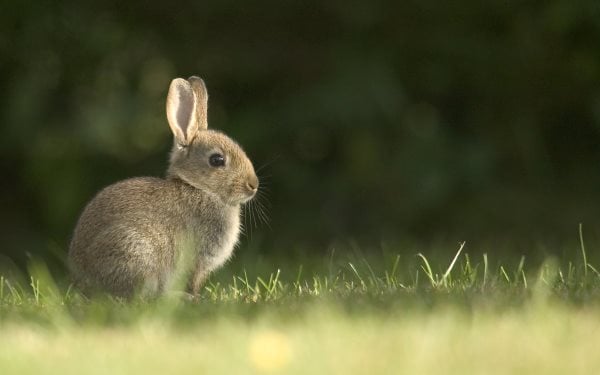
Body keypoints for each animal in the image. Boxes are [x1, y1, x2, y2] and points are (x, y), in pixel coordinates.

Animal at [68, 76, 258, 300]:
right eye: (217, 160)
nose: (253, 185)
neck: (199, 188)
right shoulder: (197, 260)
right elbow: (192, 281)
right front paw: (195, 297)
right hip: (137, 252)